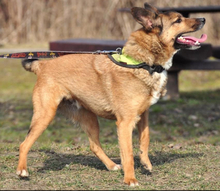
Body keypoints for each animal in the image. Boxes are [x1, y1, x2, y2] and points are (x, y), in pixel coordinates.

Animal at [15, 2, 206, 187]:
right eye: (178, 20)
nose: (203, 19)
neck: (142, 62)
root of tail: (43, 65)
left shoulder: (143, 115)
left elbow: (145, 139)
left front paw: (145, 163)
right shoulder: (125, 123)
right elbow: (128, 152)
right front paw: (130, 179)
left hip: (89, 118)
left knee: (94, 145)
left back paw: (111, 165)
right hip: (45, 115)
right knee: (24, 143)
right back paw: (22, 171)